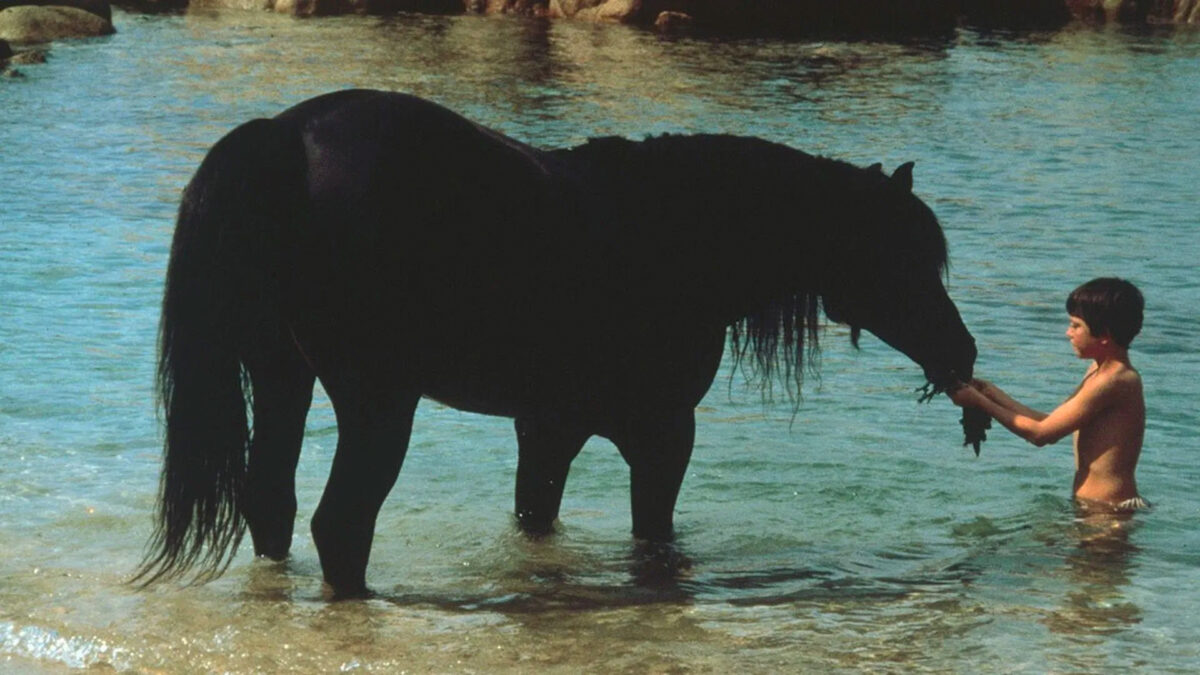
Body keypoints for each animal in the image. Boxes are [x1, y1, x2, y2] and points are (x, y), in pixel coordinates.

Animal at [136, 89, 978, 597]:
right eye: (904, 256)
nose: (962, 353)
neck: (677, 232)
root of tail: (282, 137)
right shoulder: (663, 434)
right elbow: (653, 539)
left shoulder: (549, 428)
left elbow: (535, 521)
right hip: (376, 403)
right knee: (339, 523)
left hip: (283, 378)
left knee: (271, 502)